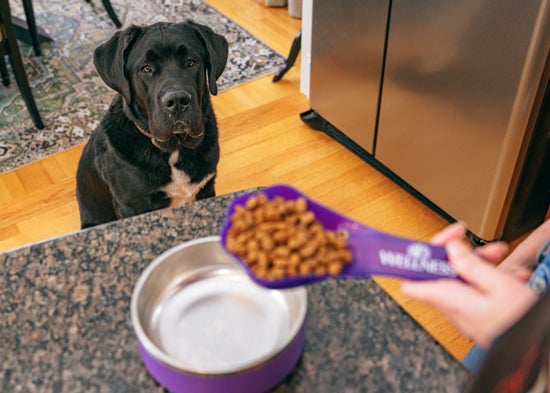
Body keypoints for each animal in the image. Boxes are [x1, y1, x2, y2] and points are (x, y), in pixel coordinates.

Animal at [75, 21, 229, 228]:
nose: (177, 100)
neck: (175, 149)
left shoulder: (206, 188)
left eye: (191, 62)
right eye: (146, 69)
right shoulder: (132, 206)